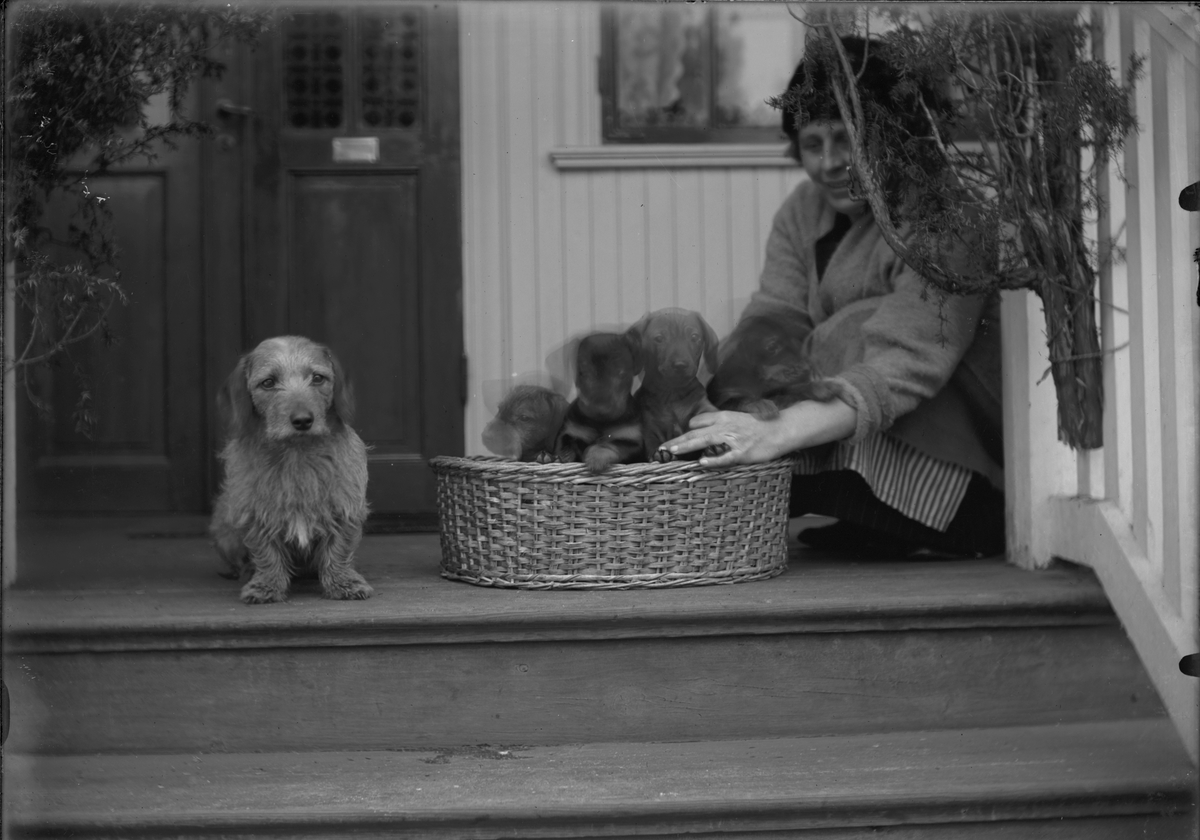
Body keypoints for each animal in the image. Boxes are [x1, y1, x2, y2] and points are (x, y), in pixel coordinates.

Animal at [209, 336, 374, 604]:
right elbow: (266, 553)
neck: (297, 454)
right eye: (268, 382)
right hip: (225, 531)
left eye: (317, 378)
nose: (303, 420)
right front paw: (266, 585)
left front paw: (344, 582)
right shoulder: (255, 514)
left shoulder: (345, 508)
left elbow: (339, 549)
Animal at [550, 332, 644, 474]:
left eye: (621, 373)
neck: (600, 423)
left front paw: (595, 457)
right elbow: (563, 446)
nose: (601, 409)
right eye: (583, 372)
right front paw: (561, 457)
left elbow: (607, 444)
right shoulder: (568, 431)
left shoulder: (633, 442)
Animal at [627, 307, 720, 462]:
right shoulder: (650, 426)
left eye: (694, 337)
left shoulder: (704, 410)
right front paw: (660, 452)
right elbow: (652, 439)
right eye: (659, 338)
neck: (673, 393)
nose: (680, 365)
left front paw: (713, 444)